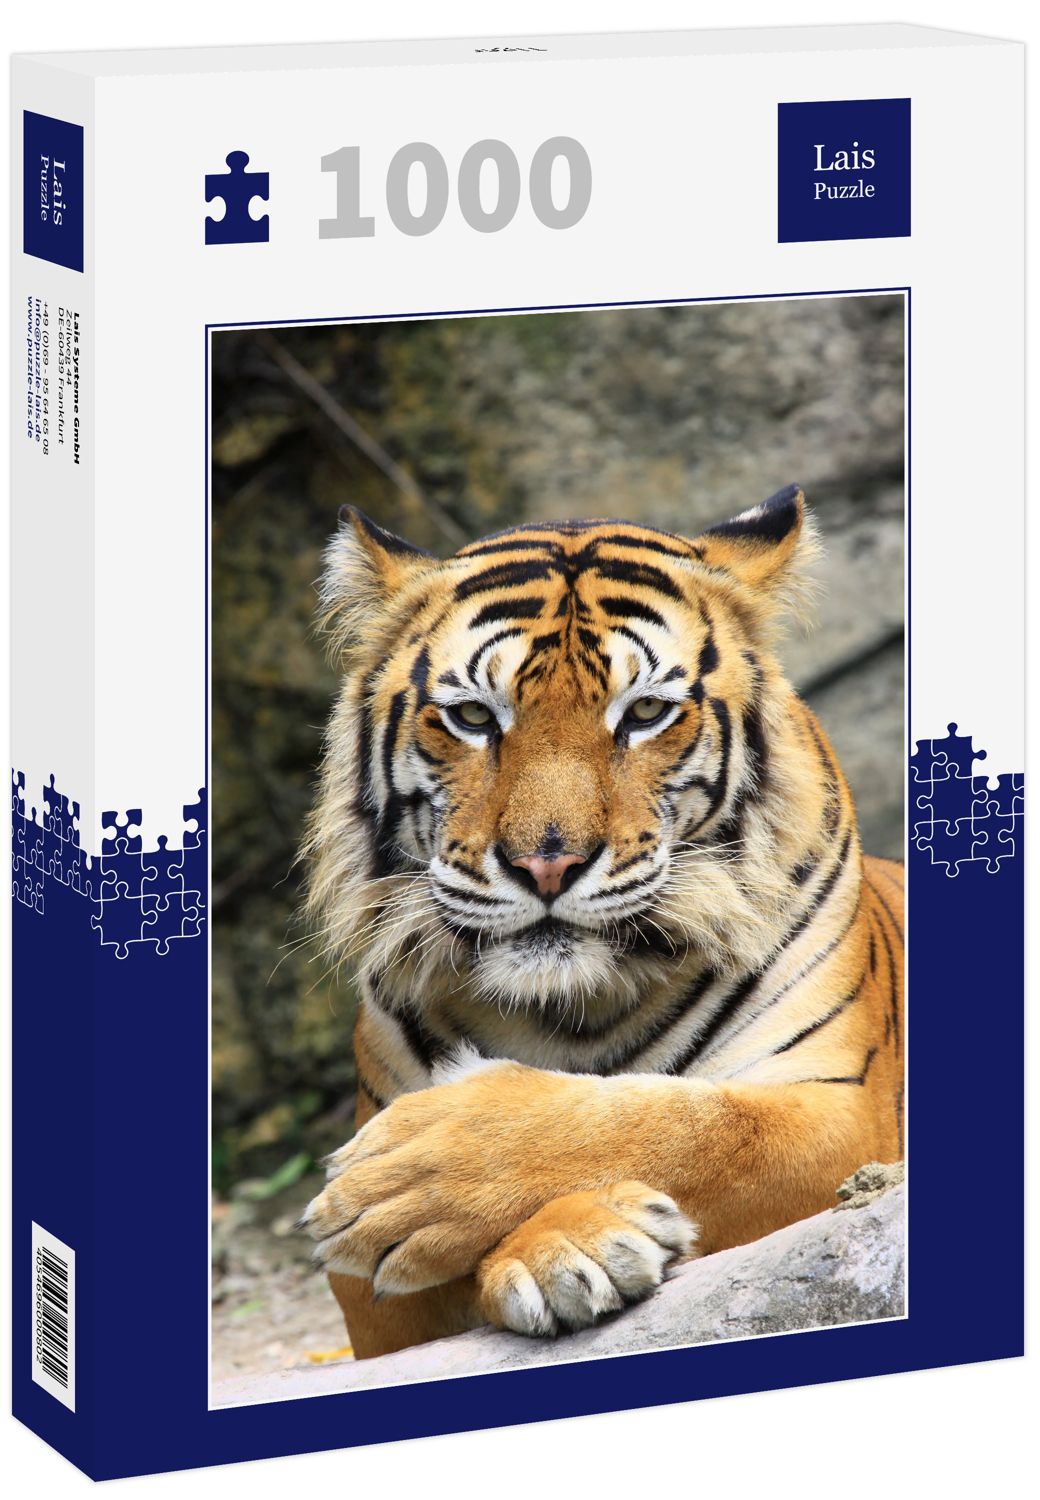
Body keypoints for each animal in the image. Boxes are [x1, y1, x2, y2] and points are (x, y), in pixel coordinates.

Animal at [300, 484, 905, 1360]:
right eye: (474, 717)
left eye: (645, 712)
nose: (546, 864)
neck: (572, 1012)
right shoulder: (374, 1310)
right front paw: (572, 1243)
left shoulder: (844, 1111)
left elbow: (688, 1125)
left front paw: (426, 1178)